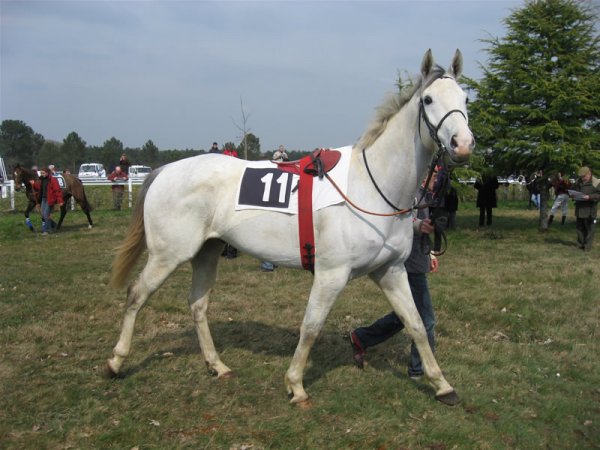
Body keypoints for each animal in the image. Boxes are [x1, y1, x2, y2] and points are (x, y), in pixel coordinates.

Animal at [106, 49, 474, 404]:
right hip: (167, 255)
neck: (371, 186)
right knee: (136, 295)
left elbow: (416, 324)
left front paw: (442, 385)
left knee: (197, 304)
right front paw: (295, 385)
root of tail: (165, 170)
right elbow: (311, 326)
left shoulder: (392, 271)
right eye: (428, 99)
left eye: (465, 98)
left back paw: (217, 365)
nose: (463, 144)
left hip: (207, 252)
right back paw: (115, 362)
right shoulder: (331, 274)